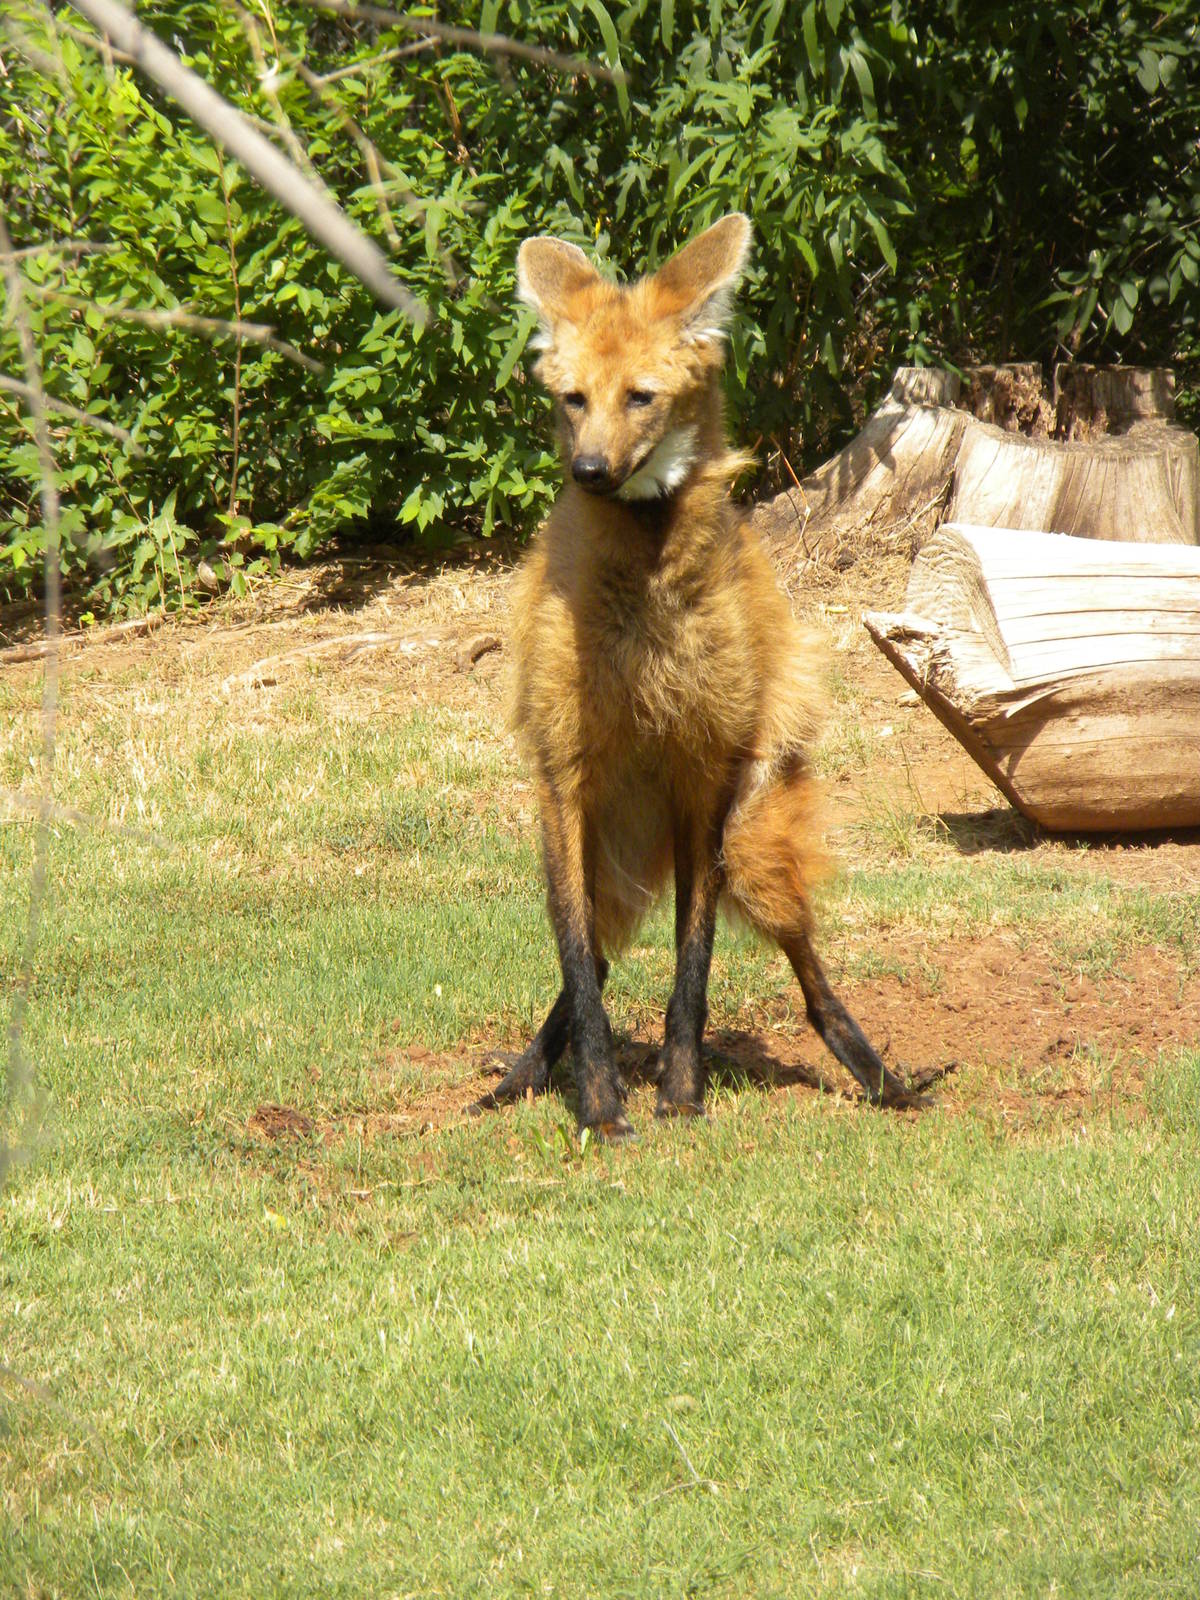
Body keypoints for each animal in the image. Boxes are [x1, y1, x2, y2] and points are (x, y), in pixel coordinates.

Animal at [476, 213, 918, 1140]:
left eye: (641, 397)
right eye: (574, 399)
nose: (590, 472)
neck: (645, 585)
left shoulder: (704, 770)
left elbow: (694, 955)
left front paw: (680, 1092)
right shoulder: (564, 775)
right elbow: (577, 958)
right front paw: (601, 1105)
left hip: (753, 828)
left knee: (805, 957)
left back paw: (878, 1074)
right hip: (604, 840)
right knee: (594, 955)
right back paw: (523, 1076)